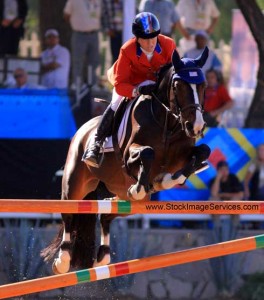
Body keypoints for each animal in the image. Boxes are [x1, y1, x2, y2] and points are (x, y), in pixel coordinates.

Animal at [41, 46, 210, 274]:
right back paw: (63, 260)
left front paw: (165, 180)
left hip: (130, 201)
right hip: (75, 183)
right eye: (178, 86)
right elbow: (147, 153)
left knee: (106, 215)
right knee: (69, 213)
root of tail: (82, 130)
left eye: (203, 85)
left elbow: (202, 152)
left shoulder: (180, 156)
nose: (196, 126)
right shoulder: (130, 155)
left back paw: (102, 257)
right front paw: (144, 185)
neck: (167, 122)